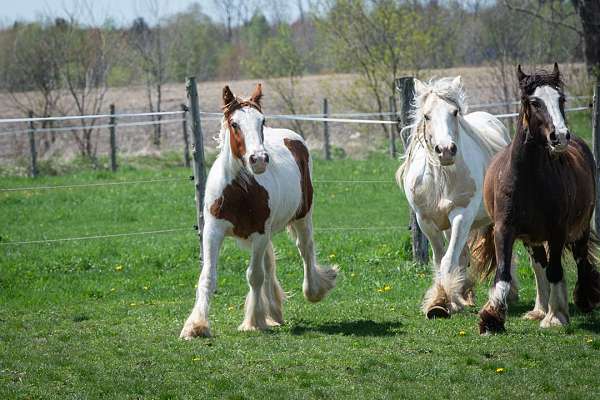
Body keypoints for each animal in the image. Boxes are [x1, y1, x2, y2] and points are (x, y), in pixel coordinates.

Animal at [178, 83, 338, 338]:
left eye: (261, 121)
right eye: (234, 124)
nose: (259, 159)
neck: (239, 191)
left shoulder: (260, 233)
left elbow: (254, 275)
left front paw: (253, 321)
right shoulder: (213, 231)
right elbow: (208, 276)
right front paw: (196, 326)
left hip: (302, 216)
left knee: (305, 249)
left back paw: (313, 290)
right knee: (270, 263)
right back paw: (274, 311)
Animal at [398, 76, 510, 318]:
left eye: (455, 112)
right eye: (427, 115)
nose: (446, 150)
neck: (441, 177)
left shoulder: (461, 215)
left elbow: (448, 260)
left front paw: (441, 301)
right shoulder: (426, 221)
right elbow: (440, 259)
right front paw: (443, 301)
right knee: (464, 255)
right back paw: (463, 294)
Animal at [474, 63, 600, 334]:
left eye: (561, 99)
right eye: (534, 102)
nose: (560, 136)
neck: (528, 179)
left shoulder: (557, 231)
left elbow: (556, 271)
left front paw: (556, 317)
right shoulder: (504, 229)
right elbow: (504, 273)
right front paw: (492, 318)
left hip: (580, 228)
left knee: (579, 259)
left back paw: (581, 300)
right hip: (532, 238)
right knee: (539, 265)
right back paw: (540, 308)